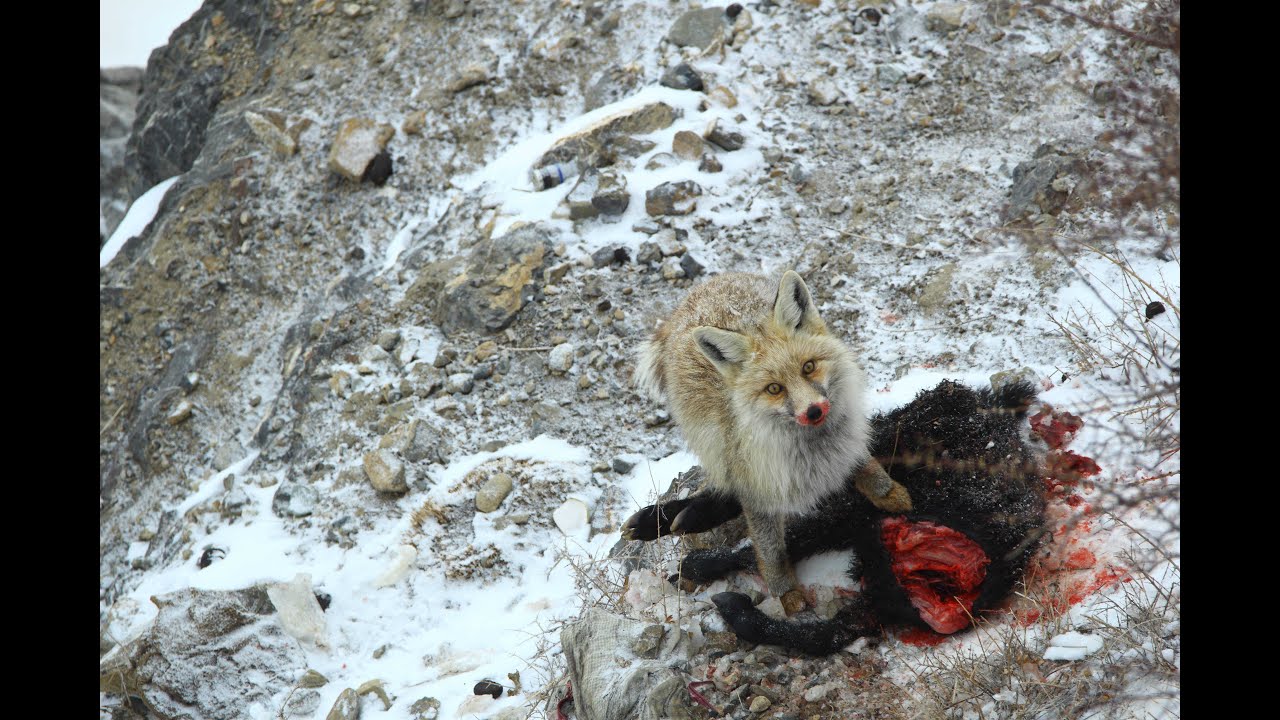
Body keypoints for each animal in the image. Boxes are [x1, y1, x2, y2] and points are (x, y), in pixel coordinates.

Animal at [626, 271, 911, 615]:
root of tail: (703, 288)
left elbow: (864, 464)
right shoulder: (757, 486)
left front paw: (891, 493)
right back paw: (672, 517)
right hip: (717, 449)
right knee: (725, 486)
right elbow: (770, 549)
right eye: (774, 388)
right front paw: (787, 593)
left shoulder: (847, 436)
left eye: (808, 367)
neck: (813, 450)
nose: (814, 411)